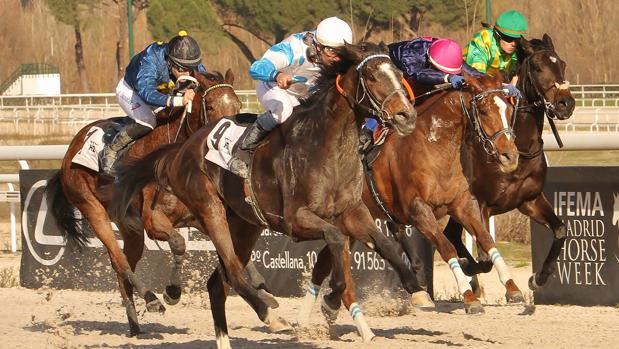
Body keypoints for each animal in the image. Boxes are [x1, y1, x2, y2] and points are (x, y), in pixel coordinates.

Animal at [43, 70, 241, 334]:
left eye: (238, 105)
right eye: (210, 105)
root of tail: (71, 148)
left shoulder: (198, 215)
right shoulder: (153, 220)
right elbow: (179, 244)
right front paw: (172, 292)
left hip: (129, 225)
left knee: (125, 262)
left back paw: (135, 324)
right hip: (91, 207)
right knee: (119, 260)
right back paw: (151, 300)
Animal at [111, 42, 422, 346]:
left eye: (398, 73)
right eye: (371, 76)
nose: (407, 116)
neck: (326, 146)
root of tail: (181, 149)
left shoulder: (352, 212)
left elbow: (385, 243)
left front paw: (415, 286)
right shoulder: (297, 219)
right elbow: (335, 239)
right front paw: (332, 297)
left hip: (245, 225)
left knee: (217, 284)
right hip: (210, 211)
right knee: (232, 273)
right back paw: (267, 312)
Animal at [440, 34, 576, 290]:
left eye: (562, 64)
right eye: (537, 67)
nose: (566, 104)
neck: (518, 150)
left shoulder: (529, 200)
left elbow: (561, 230)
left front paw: (538, 278)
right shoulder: (480, 205)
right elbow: (485, 259)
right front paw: (468, 266)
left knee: (449, 234)